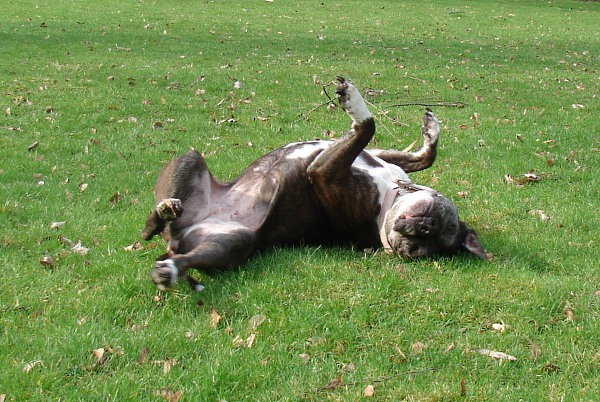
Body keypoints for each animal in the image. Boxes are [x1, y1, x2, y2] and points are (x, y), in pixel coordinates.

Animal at [142, 75, 488, 290]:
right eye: (445, 222)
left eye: (421, 251)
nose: (419, 232)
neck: (386, 201)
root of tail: (176, 238)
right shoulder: (377, 157)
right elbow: (424, 156)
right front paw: (431, 128)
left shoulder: (322, 172)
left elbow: (367, 126)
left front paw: (354, 102)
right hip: (191, 159)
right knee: (153, 225)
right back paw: (165, 210)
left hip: (233, 242)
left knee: (176, 249)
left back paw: (169, 268)